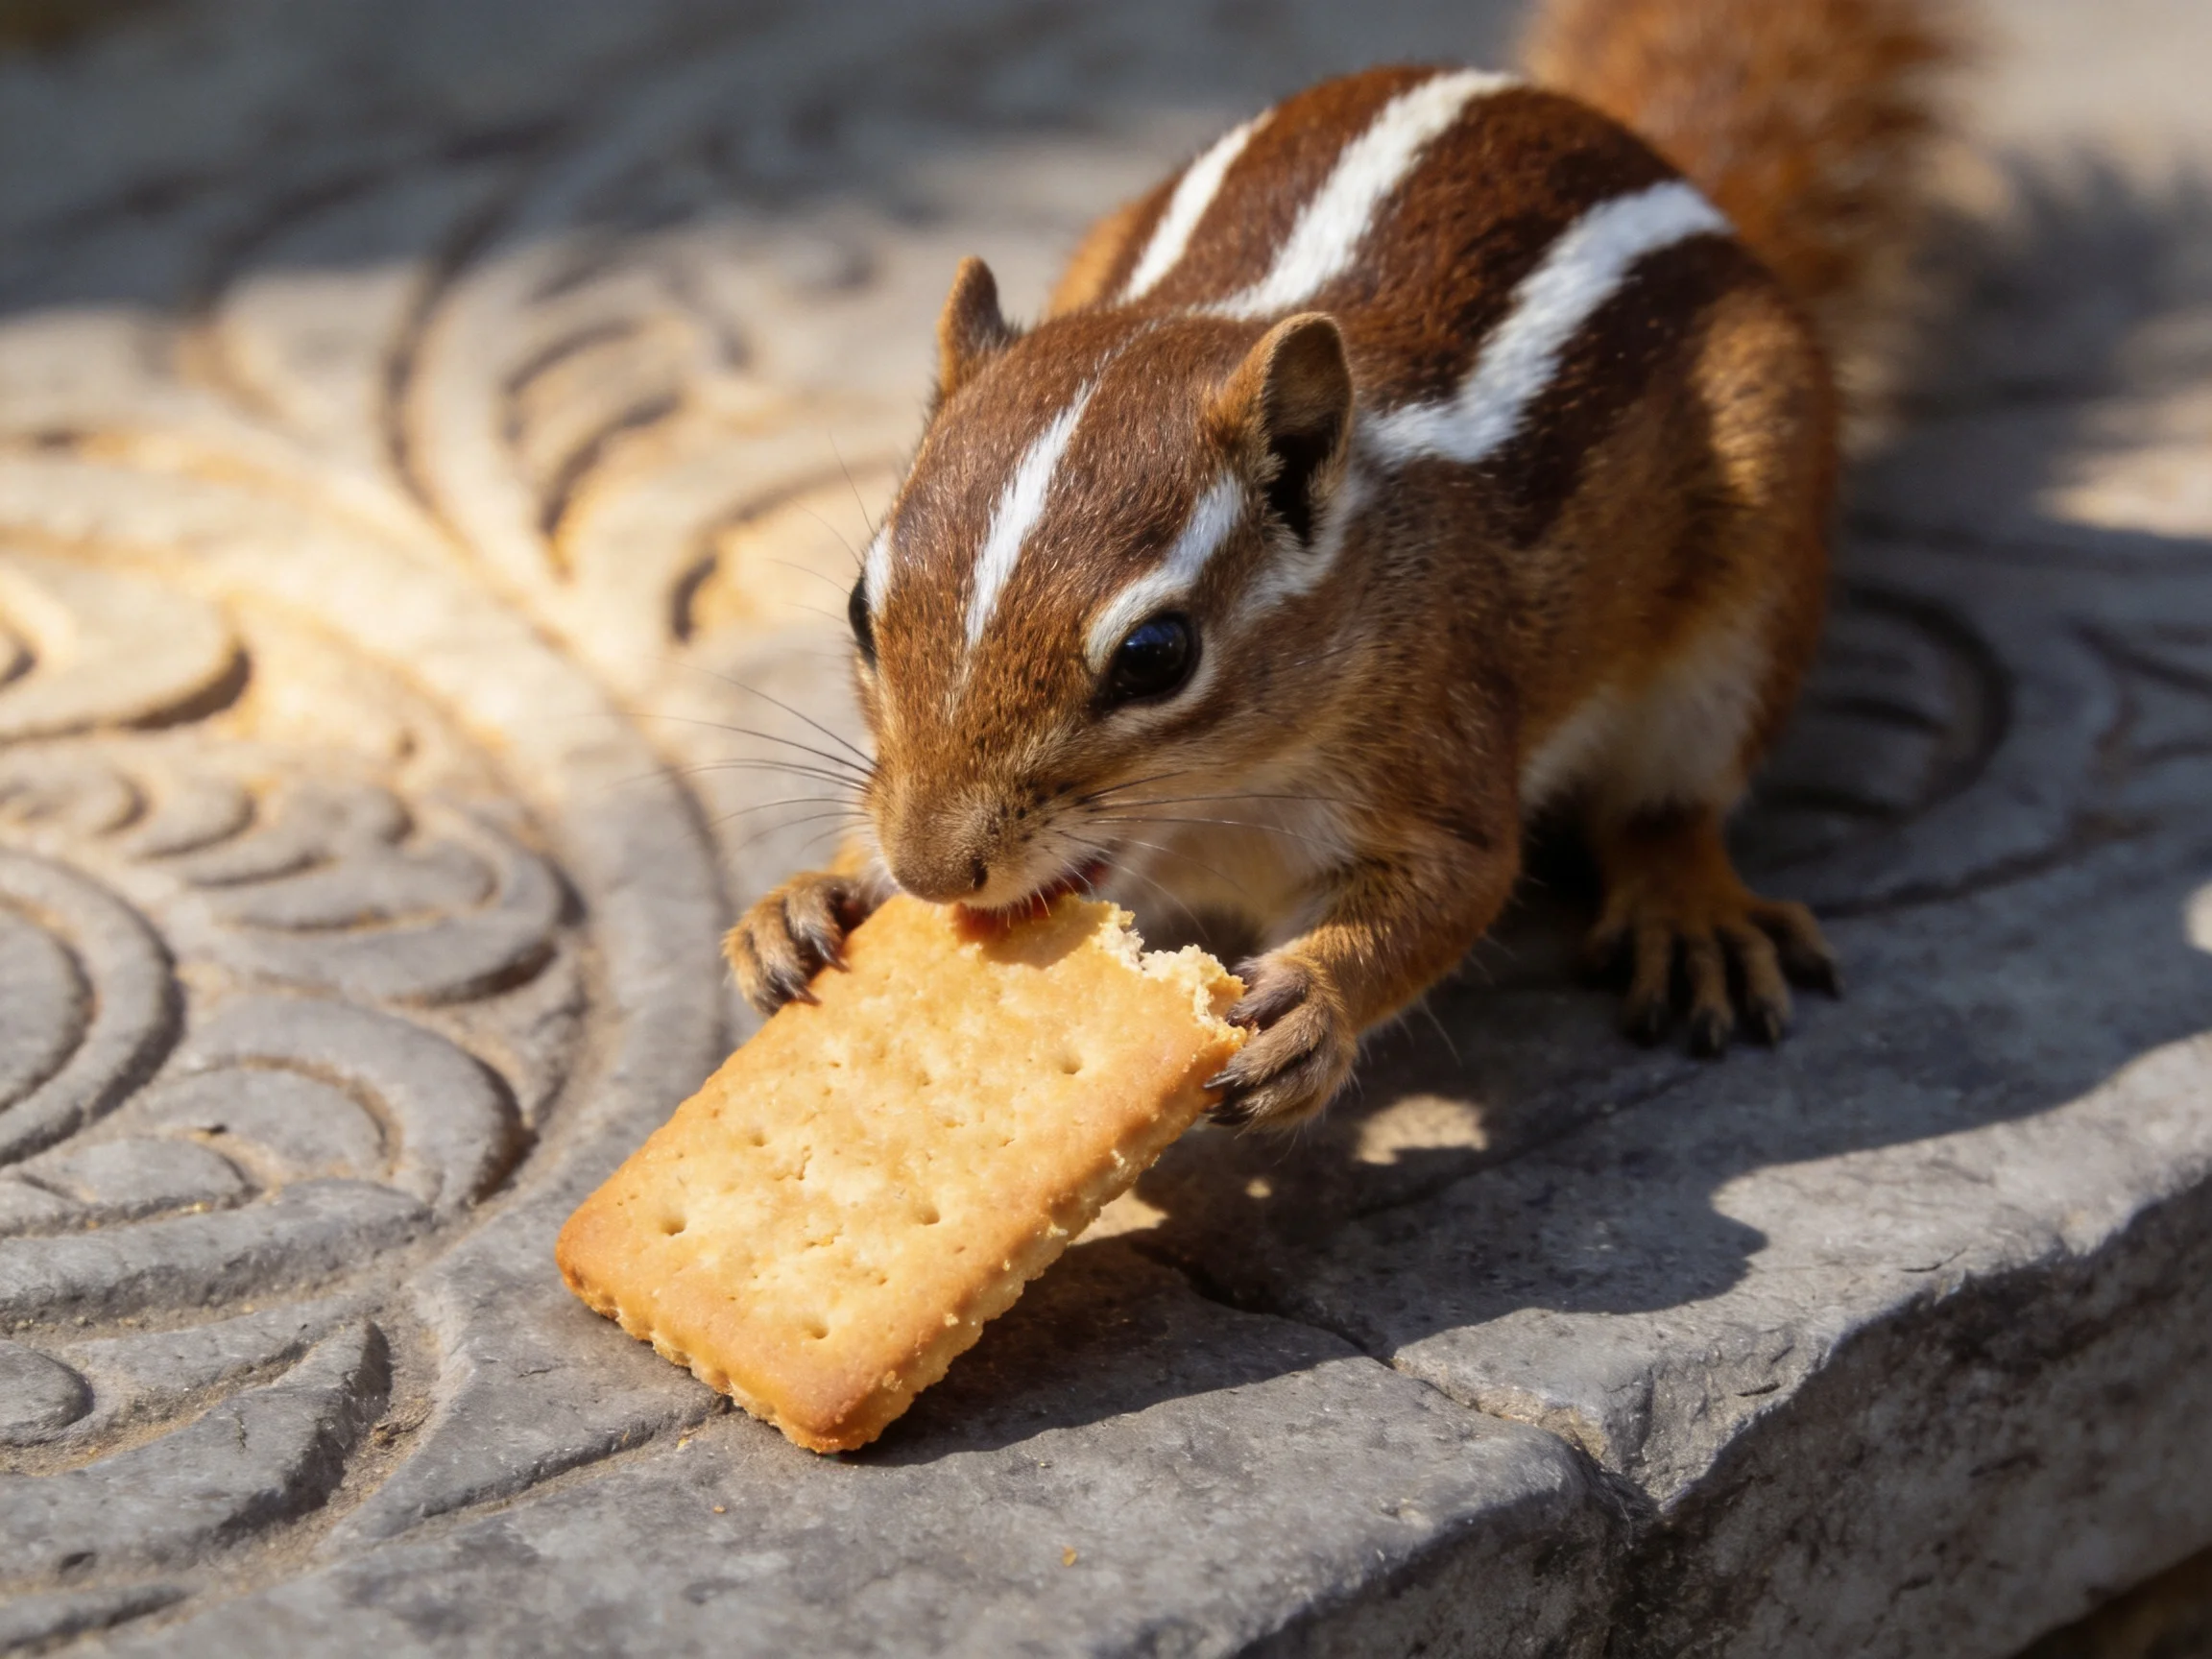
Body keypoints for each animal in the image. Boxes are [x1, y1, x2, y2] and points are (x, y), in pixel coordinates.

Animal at [724, 0, 1961, 1128]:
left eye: (1156, 656)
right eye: (860, 609)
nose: (931, 870)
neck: (1220, 813)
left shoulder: (1439, 746)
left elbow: (1453, 889)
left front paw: (1314, 1008)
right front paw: (816, 890)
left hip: (1750, 589)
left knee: (1672, 805)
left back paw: (1690, 910)